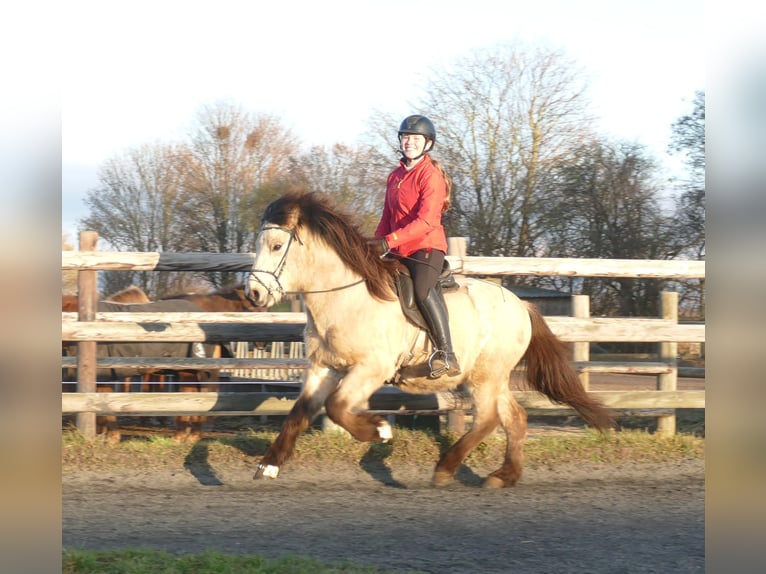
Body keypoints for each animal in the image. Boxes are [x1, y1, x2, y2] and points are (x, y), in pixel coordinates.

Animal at [245, 191, 616, 488]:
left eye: (276, 246)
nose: (253, 294)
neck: (346, 298)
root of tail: (521, 305)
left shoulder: (372, 367)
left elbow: (337, 407)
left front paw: (379, 430)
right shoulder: (324, 367)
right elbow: (300, 411)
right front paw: (269, 464)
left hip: (485, 377)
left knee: (488, 419)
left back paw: (446, 468)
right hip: (492, 377)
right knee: (514, 418)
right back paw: (504, 475)